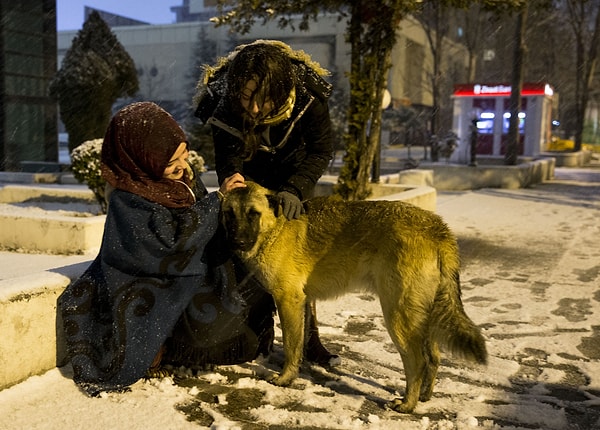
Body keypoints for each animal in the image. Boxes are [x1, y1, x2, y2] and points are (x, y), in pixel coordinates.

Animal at [220, 182, 488, 414]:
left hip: (397, 315)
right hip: (421, 316)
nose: (236, 242)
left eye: (253, 214)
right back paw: (424, 396)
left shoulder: (289, 301)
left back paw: (407, 404)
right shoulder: (301, 303)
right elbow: (301, 342)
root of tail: (437, 228)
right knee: (434, 357)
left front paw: (286, 378)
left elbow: (291, 345)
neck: (276, 227)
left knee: (417, 361)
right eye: (229, 214)